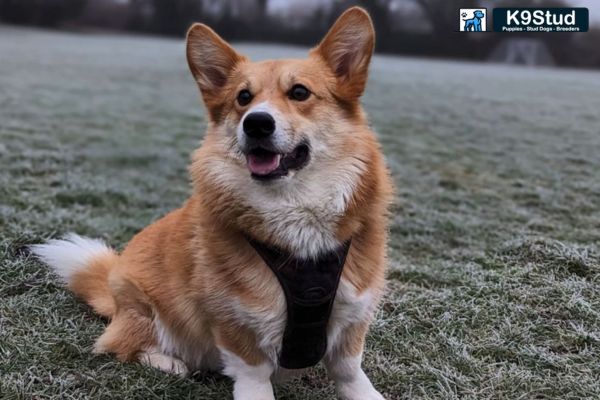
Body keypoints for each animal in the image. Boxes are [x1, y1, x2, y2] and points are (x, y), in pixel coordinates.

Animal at [30, 7, 394, 400]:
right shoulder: (236, 319)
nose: (256, 123)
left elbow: (348, 370)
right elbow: (254, 374)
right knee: (119, 344)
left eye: (300, 92)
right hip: (144, 310)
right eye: (243, 98)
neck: (294, 209)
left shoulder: (353, 311)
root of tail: (112, 289)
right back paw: (169, 362)